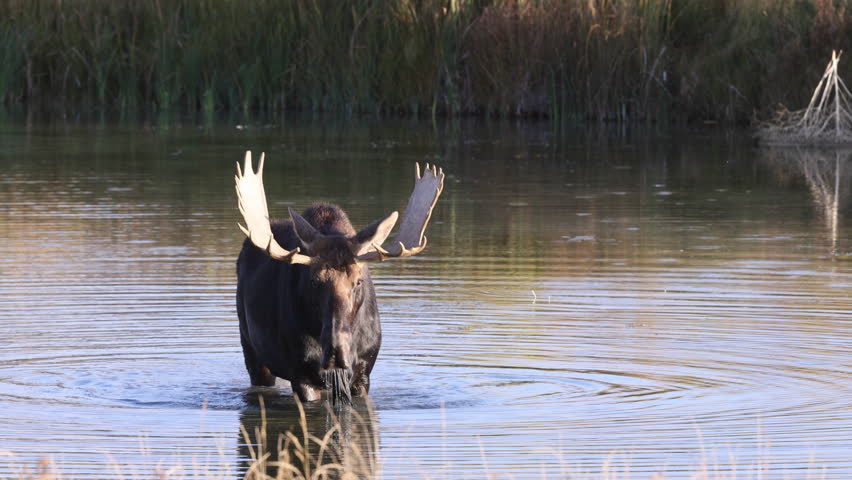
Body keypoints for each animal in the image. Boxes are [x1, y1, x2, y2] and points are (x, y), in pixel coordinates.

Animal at [234, 151, 444, 404]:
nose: (336, 351)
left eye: (358, 281)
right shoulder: (301, 374)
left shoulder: (363, 373)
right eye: (313, 281)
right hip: (251, 349)